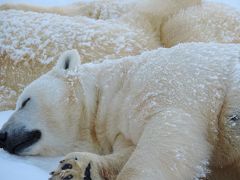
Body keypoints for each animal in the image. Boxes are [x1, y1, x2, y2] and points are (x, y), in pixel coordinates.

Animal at [0, 43, 240, 179]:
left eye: (25, 101)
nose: (2, 135)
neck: (119, 85)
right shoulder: (121, 127)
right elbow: (127, 152)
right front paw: (74, 168)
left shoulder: (169, 81)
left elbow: (168, 136)